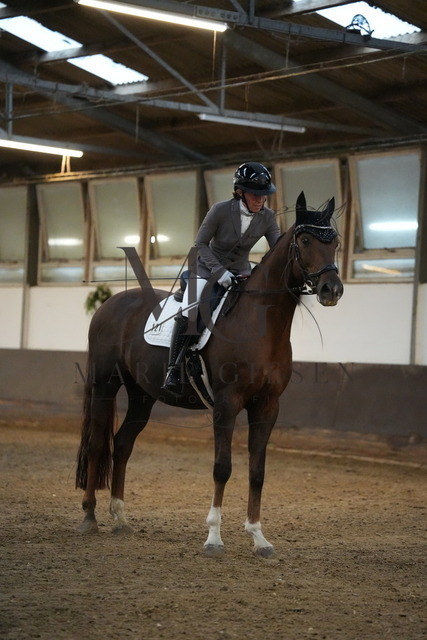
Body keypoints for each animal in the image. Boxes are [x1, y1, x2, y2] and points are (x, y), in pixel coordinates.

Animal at [76, 191, 343, 557]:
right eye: (304, 241)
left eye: (336, 243)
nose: (332, 289)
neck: (259, 324)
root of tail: (110, 304)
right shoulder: (227, 404)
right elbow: (222, 467)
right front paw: (214, 538)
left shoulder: (267, 406)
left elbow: (257, 471)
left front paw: (258, 537)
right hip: (104, 384)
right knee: (95, 445)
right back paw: (90, 517)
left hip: (142, 395)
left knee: (123, 443)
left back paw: (120, 518)